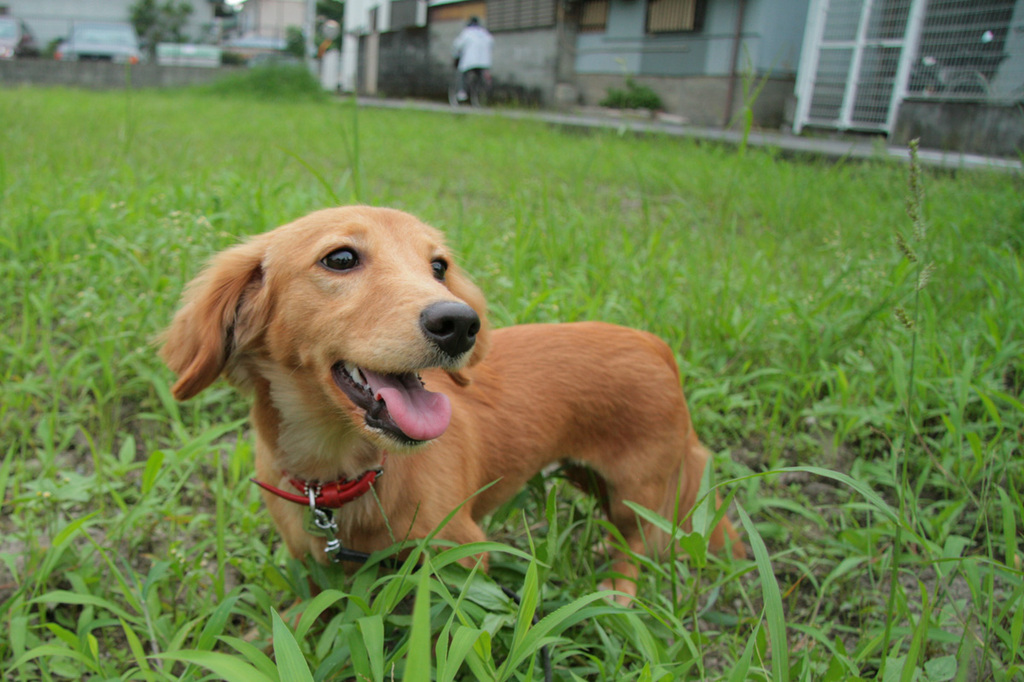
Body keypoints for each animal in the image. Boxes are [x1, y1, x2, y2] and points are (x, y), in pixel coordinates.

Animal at [163, 204, 749, 598]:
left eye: (439, 266)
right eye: (341, 258)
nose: (461, 324)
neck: (344, 475)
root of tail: (656, 347)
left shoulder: (463, 556)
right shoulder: (313, 566)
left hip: (638, 493)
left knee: (640, 547)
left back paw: (615, 593)